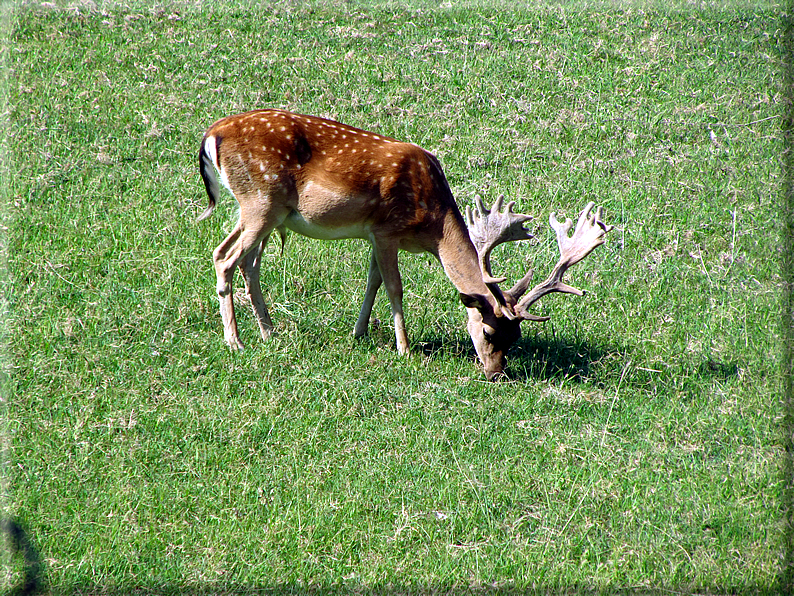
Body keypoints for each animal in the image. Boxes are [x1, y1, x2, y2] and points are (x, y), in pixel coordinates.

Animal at [198, 109, 612, 380]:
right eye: (490, 332)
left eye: (517, 338)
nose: (496, 374)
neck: (431, 224)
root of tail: (211, 135)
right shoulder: (385, 229)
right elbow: (394, 286)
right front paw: (405, 349)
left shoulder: (372, 235)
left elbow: (373, 281)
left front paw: (359, 333)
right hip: (260, 201)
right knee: (224, 257)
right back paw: (235, 342)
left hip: (268, 212)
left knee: (248, 263)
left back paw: (269, 332)